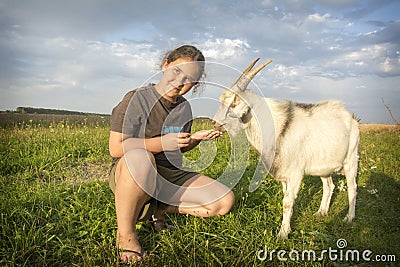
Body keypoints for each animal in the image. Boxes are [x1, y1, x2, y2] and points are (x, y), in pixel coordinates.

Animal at [212, 58, 360, 239]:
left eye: (234, 102)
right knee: (329, 186)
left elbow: (287, 202)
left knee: (353, 188)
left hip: (351, 159)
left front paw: (282, 233)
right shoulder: (284, 174)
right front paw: (286, 228)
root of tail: (351, 118)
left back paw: (349, 218)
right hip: (324, 166)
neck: (279, 127)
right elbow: (285, 197)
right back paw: (321, 212)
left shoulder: (296, 173)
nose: (214, 123)